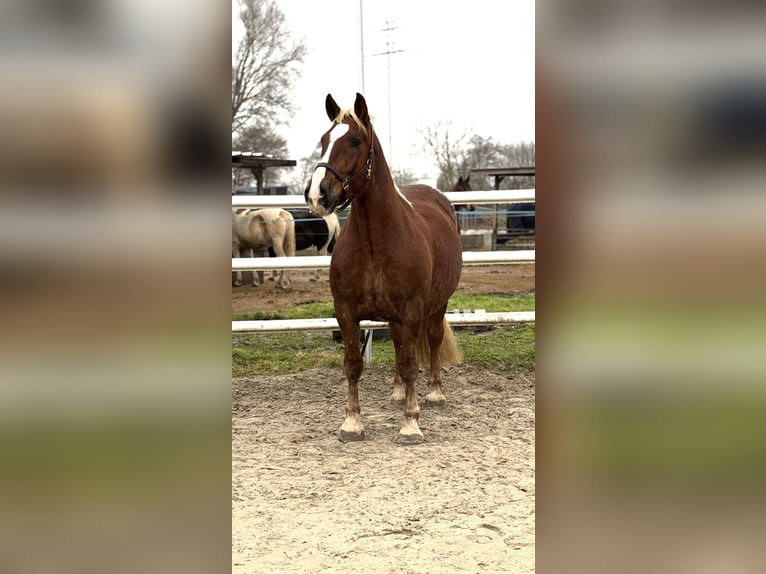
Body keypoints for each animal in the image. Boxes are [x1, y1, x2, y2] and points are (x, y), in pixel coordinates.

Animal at [305, 93, 463, 444]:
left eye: (355, 141)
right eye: (323, 140)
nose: (317, 194)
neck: (375, 242)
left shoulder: (413, 309)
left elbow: (410, 364)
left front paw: (410, 424)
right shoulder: (345, 310)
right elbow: (353, 364)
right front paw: (351, 423)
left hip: (436, 306)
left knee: (431, 341)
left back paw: (434, 392)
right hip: (395, 317)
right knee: (398, 344)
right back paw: (397, 392)